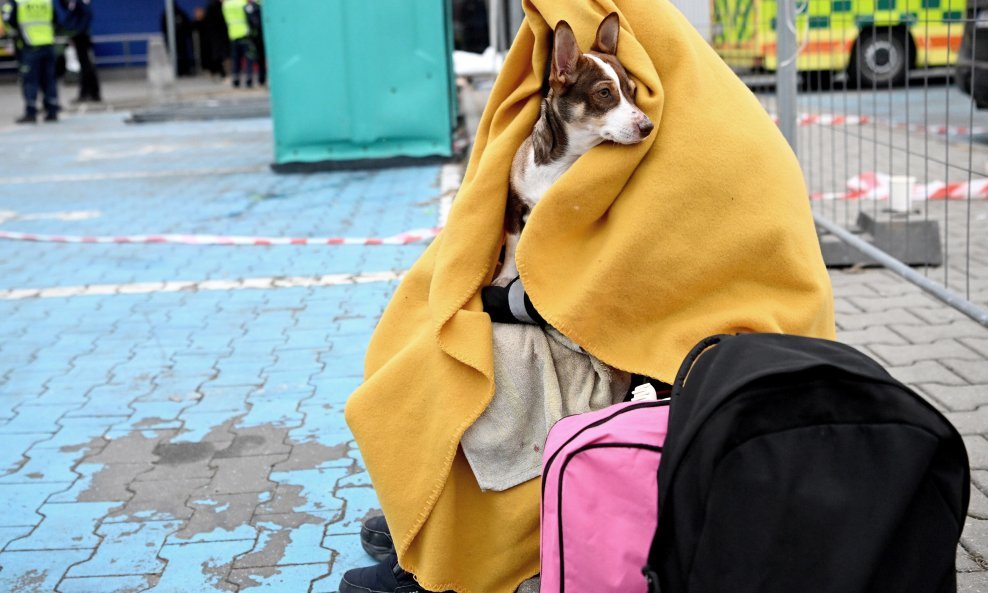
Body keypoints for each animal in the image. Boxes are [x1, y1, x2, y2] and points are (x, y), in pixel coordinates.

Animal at [490, 11, 652, 284]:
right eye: (605, 93)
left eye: (633, 91)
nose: (648, 126)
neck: (559, 163)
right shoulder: (513, 204)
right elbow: (512, 243)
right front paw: (505, 276)